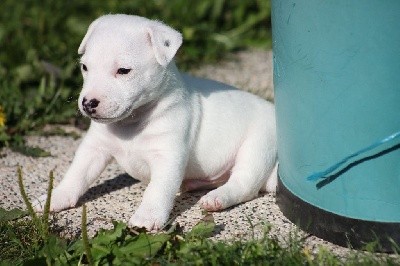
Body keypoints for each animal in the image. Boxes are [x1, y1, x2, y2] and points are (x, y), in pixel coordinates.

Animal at [32, 14, 276, 231]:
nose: (88, 103)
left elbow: (158, 189)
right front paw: (53, 198)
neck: (132, 122)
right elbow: (76, 174)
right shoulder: (94, 148)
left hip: (257, 147)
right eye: (84, 67)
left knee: (244, 184)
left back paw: (217, 198)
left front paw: (147, 218)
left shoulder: (168, 156)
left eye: (123, 70)